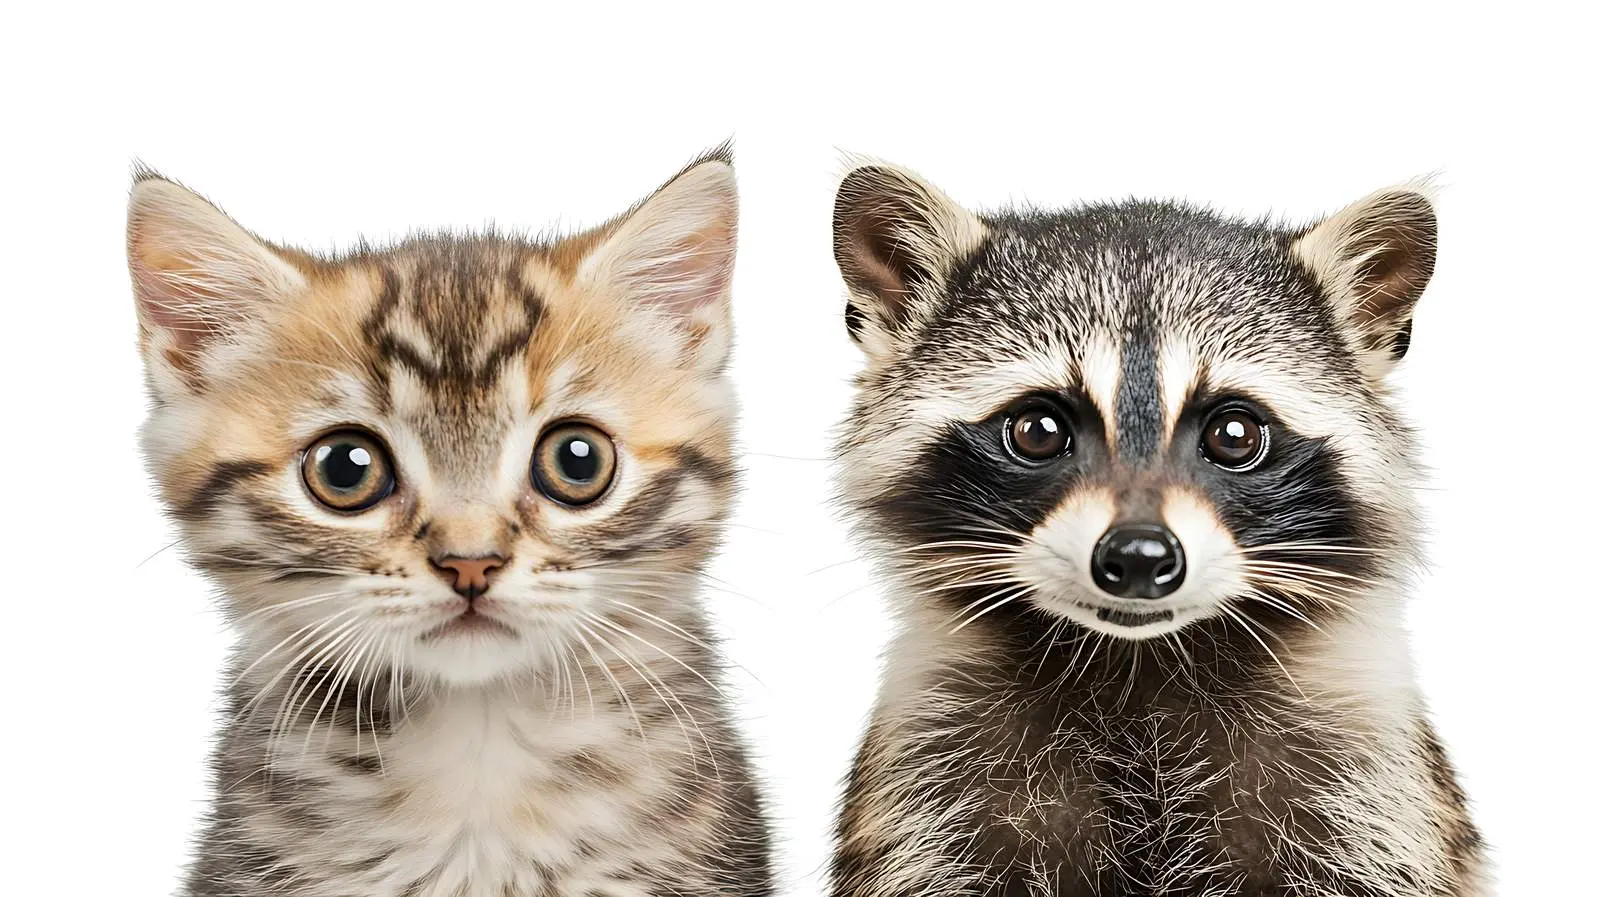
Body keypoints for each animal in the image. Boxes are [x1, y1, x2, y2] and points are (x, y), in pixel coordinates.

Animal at [827, 163, 1486, 896]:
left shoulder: (1363, 781)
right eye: (1037, 430)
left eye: (1235, 434)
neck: (1138, 662)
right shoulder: (933, 779)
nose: (1139, 556)